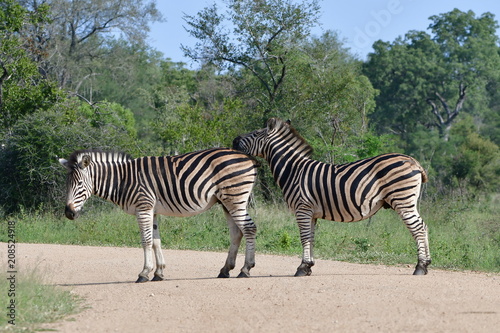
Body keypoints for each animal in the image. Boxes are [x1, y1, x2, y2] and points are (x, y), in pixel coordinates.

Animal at [59, 149, 258, 282]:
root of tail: (247, 157)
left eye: (79, 184)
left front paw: (144, 273)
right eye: (67, 184)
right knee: (236, 233)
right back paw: (225, 270)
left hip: (235, 198)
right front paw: (159, 272)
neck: (122, 181)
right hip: (226, 202)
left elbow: (146, 241)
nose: (68, 213)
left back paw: (245, 269)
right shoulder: (151, 211)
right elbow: (156, 241)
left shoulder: (143, 208)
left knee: (249, 228)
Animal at [232, 118, 432, 276]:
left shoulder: (302, 208)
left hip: (403, 200)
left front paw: (302, 268)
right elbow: (311, 238)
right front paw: (309, 266)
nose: (234, 140)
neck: (294, 170)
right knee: (423, 226)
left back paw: (420, 267)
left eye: (256, 133)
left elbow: (304, 237)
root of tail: (412, 161)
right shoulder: (311, 213)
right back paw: (426, 264)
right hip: (407, 201)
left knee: (417, 228)